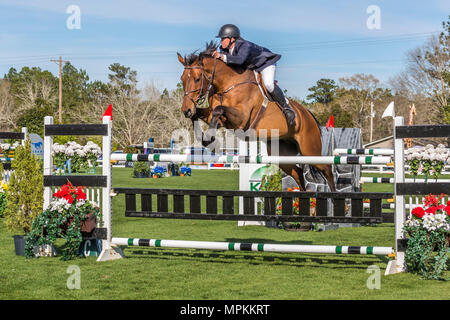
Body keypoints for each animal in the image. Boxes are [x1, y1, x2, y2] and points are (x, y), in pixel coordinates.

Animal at [176, 42, 334, 192]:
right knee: (298, 172)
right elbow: (200, 115)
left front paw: (210, 140)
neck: (227, 85)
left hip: (310, 150)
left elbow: (218, 110)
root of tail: (307, 114)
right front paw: (206, 140)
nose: (186, 110)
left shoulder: (241, 118)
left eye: (197, 79)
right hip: (282, 153)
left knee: (327, 169)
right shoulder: (216, 117)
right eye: (182, 79)